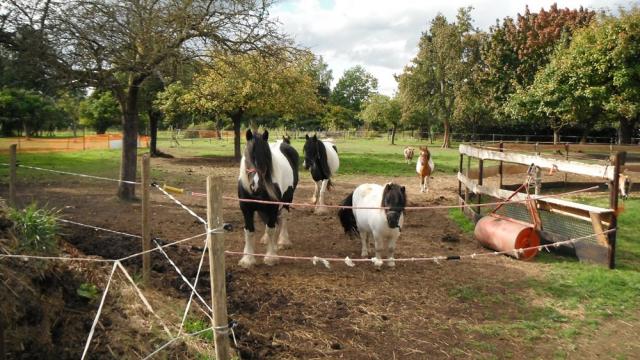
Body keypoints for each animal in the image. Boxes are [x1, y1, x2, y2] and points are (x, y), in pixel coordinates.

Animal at [238, 129, 300, 268]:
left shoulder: (272, 207)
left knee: (283, 217)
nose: (256, 186)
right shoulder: (246, 209)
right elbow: (249, 231)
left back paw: (283, 241)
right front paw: (247, 259)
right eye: (247, 157)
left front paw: (271, 257)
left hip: (288, 199)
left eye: (266, 157)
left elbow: (271, 228)